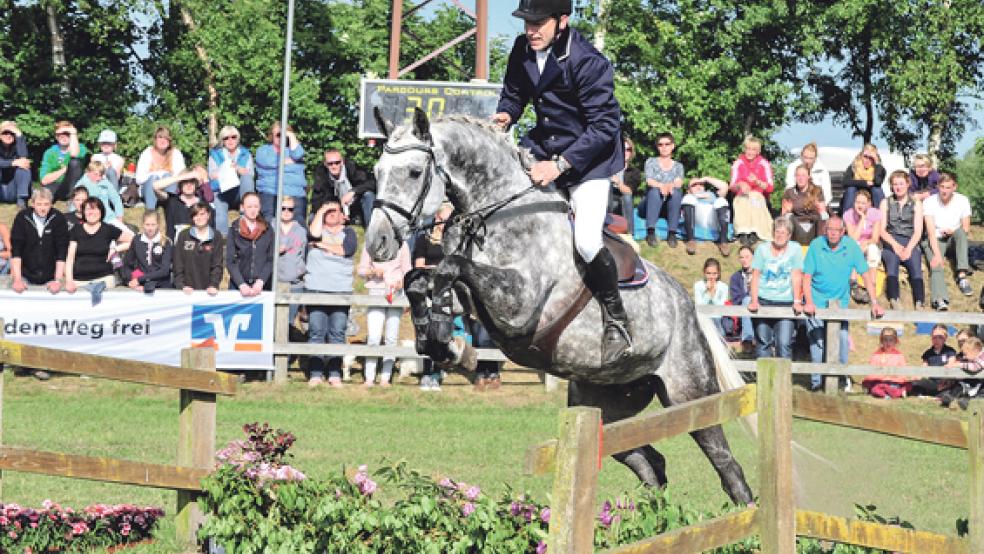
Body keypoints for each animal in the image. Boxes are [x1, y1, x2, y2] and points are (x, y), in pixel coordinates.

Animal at [364, 108, 752, 504]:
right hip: (608, 403)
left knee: (725, 464)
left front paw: (449, 341)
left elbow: (449, 268)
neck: (500, 214)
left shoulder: (519, 305)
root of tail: (687, 306)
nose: (378, 244)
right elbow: (417, 279)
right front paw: (439, 341)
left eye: (414, 172)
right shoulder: (475, 298)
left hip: (689, 392)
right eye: (377, 172)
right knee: (647, 460)